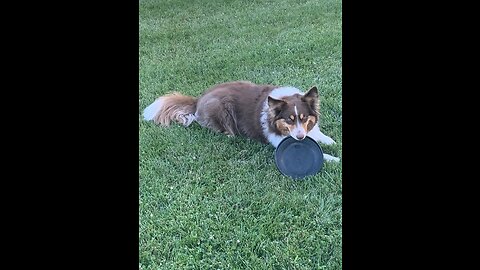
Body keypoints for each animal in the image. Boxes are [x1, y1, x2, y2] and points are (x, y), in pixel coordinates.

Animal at [143, 79, 342, 160]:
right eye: (289, 119)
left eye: (303, 117)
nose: (300, 138)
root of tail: (198, 99)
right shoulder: (279, 141)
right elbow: (323, 155)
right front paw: (335, 159)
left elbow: (320, 135)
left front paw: (331, 142)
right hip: (221, 108)